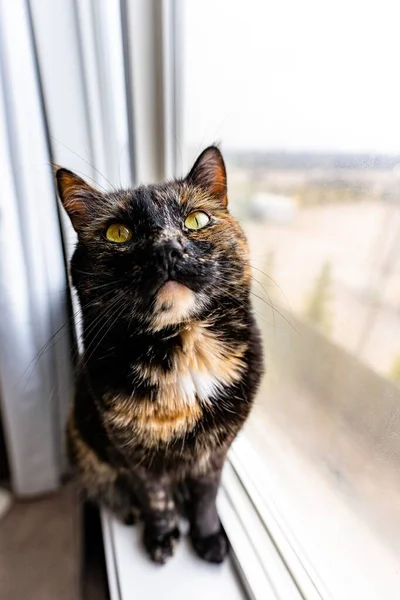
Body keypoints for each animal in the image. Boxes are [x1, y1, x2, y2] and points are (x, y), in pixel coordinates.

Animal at [55, 145, 262, 564]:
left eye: (196, 220)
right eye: (119, 232)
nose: (168, 248)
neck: (186, 352)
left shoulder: (215, 452)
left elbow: (205, 497)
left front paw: (208, 537)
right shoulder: (133, 456)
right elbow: (156, 498)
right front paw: (162, 537)